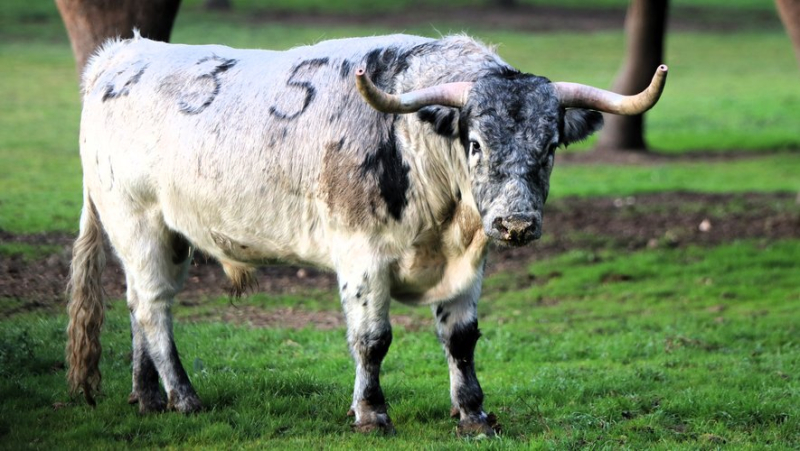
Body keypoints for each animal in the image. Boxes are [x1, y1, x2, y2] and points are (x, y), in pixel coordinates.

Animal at [67, 30, 668, 434]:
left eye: (549, 147)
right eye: (475, 143)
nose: (514, 224)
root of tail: (121, 57)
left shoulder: (469, 263)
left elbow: (461, 337)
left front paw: (473, 411)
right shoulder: (361, 255)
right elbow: (372, 339)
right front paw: (372, 412)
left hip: (167, 235)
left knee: (138, 303)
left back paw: (146, 396)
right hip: (137, 220)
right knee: (153, 307)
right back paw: (183, 397)